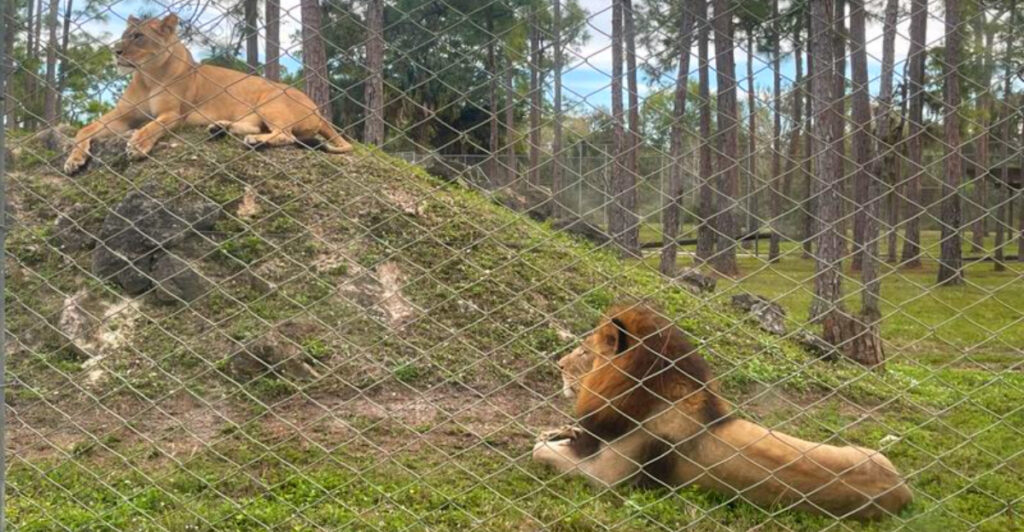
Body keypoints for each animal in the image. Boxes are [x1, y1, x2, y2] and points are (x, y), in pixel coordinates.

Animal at [63, 13, 352, 174]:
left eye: (138, 37)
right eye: (124, 35)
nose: (115, 52)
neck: (147, 76)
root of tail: (319, 110)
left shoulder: (174, 114)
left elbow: (153, 126)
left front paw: (137, 146)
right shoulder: (123, 116)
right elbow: (86, 130)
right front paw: (74, 160)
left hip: (270, 101)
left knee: (285, 135)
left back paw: (254, 141)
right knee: (257, 127)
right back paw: (219, 128)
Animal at [533, 304, 913, 520]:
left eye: (584, 352)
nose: (558, 364)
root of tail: (903, 492)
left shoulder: (610, 477)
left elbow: (542, 453)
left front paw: (546, 442)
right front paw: (558, 431)